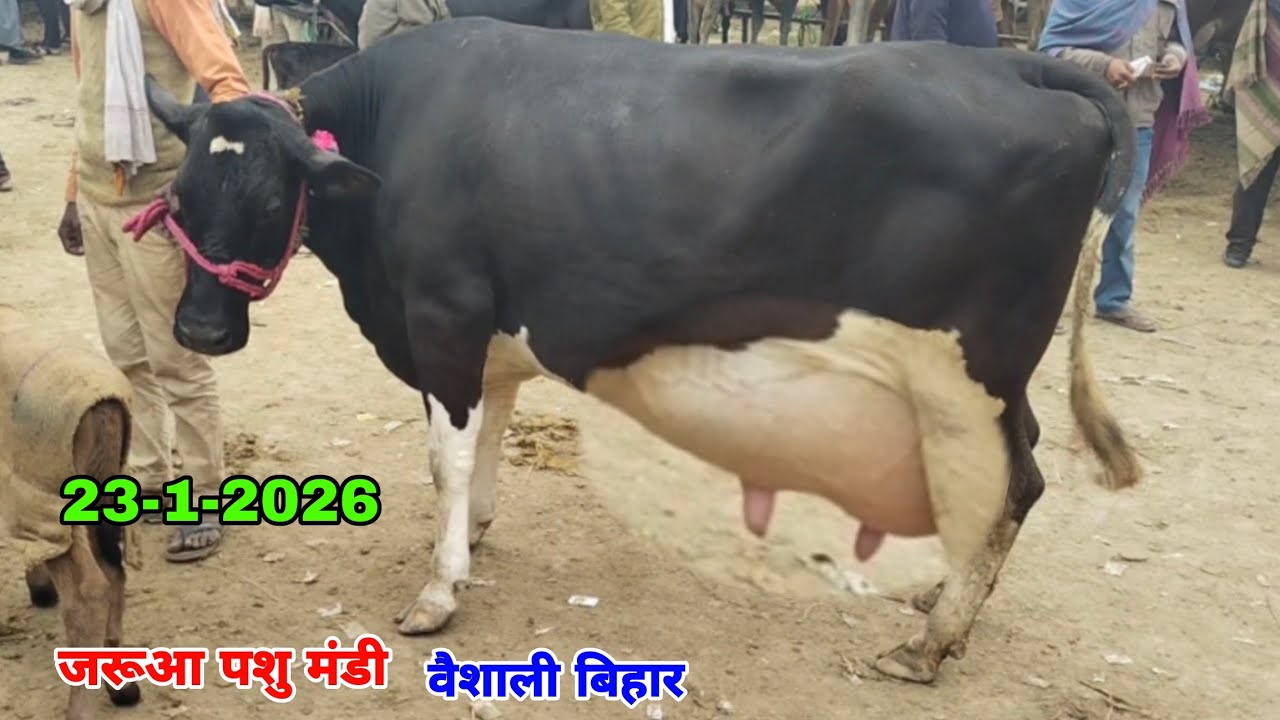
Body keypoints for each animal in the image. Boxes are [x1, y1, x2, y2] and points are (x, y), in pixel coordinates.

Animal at [138, 18, 1142, 683]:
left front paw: (441, 587)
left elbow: (447, 456)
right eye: (179, 197)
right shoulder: (489, 329)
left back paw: (930, 645)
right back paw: (938, 610)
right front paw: (477, 533)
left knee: (1018, 481)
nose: (200, 331)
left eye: (273, 199)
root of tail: (1017, 64)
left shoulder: (441, 316)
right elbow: (482, 444)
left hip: (971, 363)